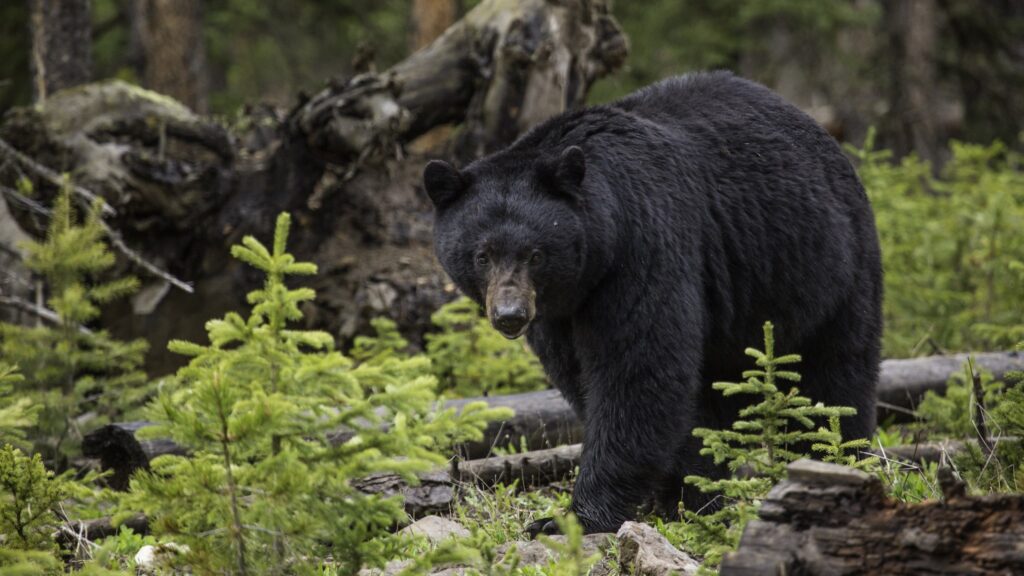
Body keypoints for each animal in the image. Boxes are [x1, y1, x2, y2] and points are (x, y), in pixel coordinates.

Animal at [422, 71, 883, 536]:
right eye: (482, 255)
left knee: (834, 378)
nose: (510, 316)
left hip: (828, 269)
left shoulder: (643, 246)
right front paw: (680, 495)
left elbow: (638, 372)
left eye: (535, 254)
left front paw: (573, 517)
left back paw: (832, 460)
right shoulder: (559, 312)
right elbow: (584, 376)